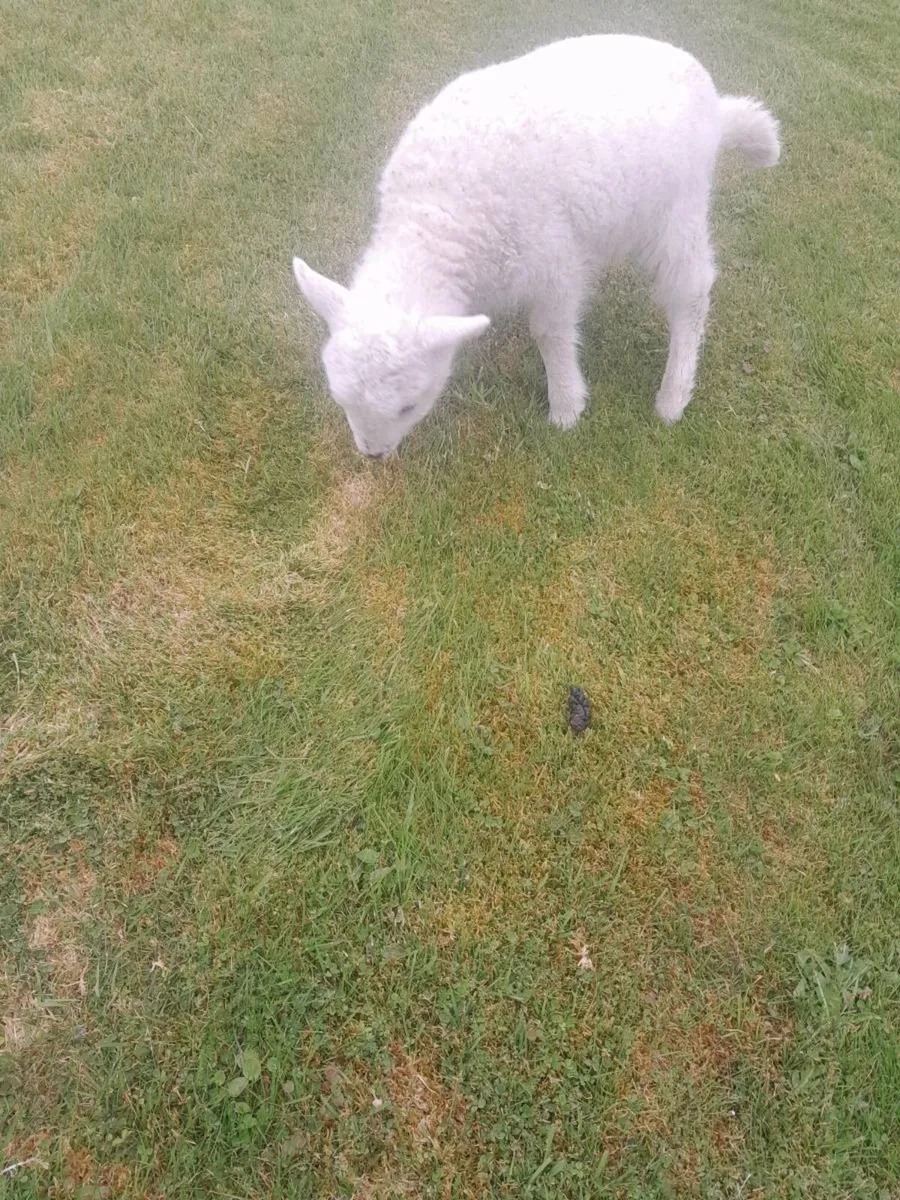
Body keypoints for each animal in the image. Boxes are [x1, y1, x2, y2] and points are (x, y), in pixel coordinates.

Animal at [293, 34, 780, 459]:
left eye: (408, 407)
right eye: (340, 399)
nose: (372, 455)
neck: (433, 218)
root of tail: (715, 107)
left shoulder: (553, 259)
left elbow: (549, 332)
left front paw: (566, 406)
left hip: (679, 208)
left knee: (689, 295)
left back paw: (673, 395)